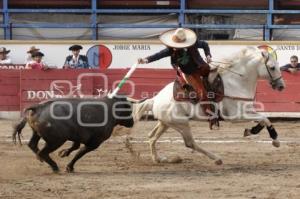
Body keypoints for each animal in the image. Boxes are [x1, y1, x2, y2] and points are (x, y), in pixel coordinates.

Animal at [132, 46, 284, 165]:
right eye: (272, 67)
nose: (281, 86)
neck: (236, 82)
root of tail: (155, 99)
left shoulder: (248, 110)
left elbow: (263, 118)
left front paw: (251, 131)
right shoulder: (235, 116)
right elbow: (264, 118)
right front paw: (275, 140)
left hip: (166, 123)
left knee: (151, 137)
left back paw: (158, 159)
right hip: (181, 123)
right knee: (189, 143)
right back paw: (216, 158)